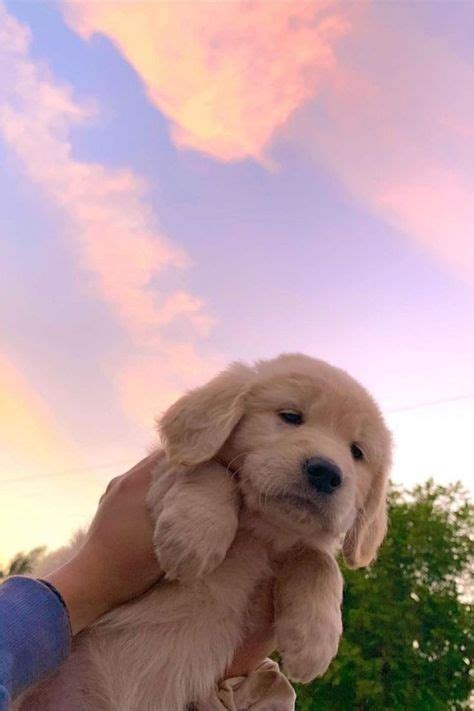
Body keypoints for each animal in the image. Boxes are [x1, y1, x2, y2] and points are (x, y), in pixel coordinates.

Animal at [16, 354, 390, 708]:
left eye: (357, 452)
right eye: (290, 416)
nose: (326, 472)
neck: (261, 530)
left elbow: (319, 561)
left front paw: (314, 642)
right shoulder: (157, 476)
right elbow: (214, 470)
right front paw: (193, 540)